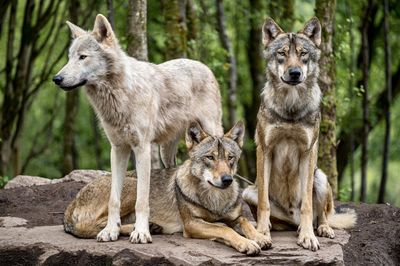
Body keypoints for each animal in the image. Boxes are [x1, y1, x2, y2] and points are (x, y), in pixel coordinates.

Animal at [52, 14, 223, 243]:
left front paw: (141, 232)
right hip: (165, 150)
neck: (120, 95)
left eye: (82, 57)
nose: (56, 79)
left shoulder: (142, 148)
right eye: (70, 57)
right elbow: (113, 199)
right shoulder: (118, 149)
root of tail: (201, 65)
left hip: (211, 133)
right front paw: (110, 231)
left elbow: (142, 200)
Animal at [64, 122, 270, 256]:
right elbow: (225, 229)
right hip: (133, 187)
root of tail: (71, 204)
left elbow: (245, 222)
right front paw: (247, 244)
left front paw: (260, 237)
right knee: (96, 226)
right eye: (210, 158)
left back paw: (149, 227)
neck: (215, 199)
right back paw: (143, 228)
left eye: (230, 158)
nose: (227, 179)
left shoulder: (234, 217)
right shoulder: (192, 224)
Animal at [241, 17, 356, 250]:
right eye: (282, 53)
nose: (295, 73)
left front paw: (308, 236)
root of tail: (291, 217)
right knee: (277, 217)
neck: (290, 107)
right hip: (247, 191)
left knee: (322, 215)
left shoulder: (308, 152)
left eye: (303, 54)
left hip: (320, 176)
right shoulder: (265, 150)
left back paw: (319, 229)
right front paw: (262, 233)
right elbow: (264, 204)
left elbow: (307, 205)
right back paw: (280, 227)